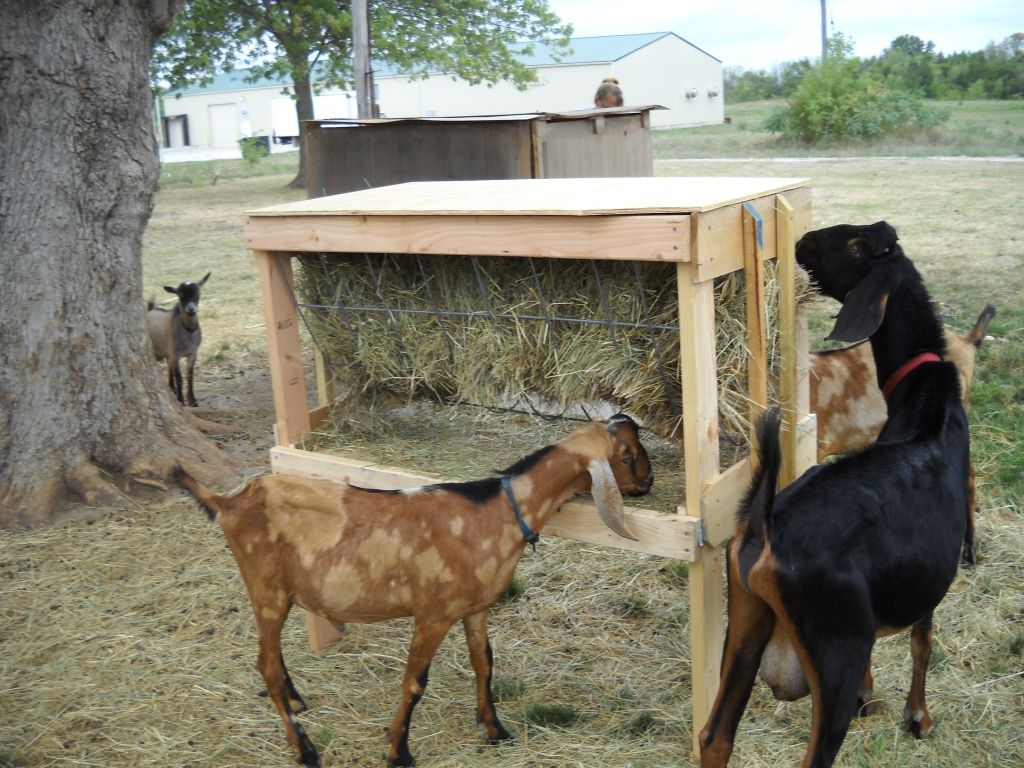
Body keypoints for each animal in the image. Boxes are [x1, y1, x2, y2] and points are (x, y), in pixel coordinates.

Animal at [146, 272, 210, 407]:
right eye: (180, 295)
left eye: (198, 294)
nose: (191, 309)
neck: (187, 331)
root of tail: (150, 310)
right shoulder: (176, 354)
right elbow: (179, 378)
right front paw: (181, 400)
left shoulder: (192, 354)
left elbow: (190, 376)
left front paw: (193, 401)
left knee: (169, 366)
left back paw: (172, 388)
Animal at [174, 414, 653, 768]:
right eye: (627, 456)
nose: (648, 483)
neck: (498, 512)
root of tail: (228, 502)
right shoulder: (433, 614)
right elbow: (414, 682)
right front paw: (397, 751)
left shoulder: (476, 607)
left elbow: (484, 664)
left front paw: (495, 729)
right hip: (266, 589)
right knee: (266, 667)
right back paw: (305, 750)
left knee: (274, 662)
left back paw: (296, 701)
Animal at [699, 222, 970, 768]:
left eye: (857, 244)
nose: (803, 241)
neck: (928, 398)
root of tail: (764, 527)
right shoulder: (931, 577)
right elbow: (923, 640)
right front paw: (918, 719)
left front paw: (876, 698)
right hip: (833, 646)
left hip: (747, 622)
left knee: (715, 738)